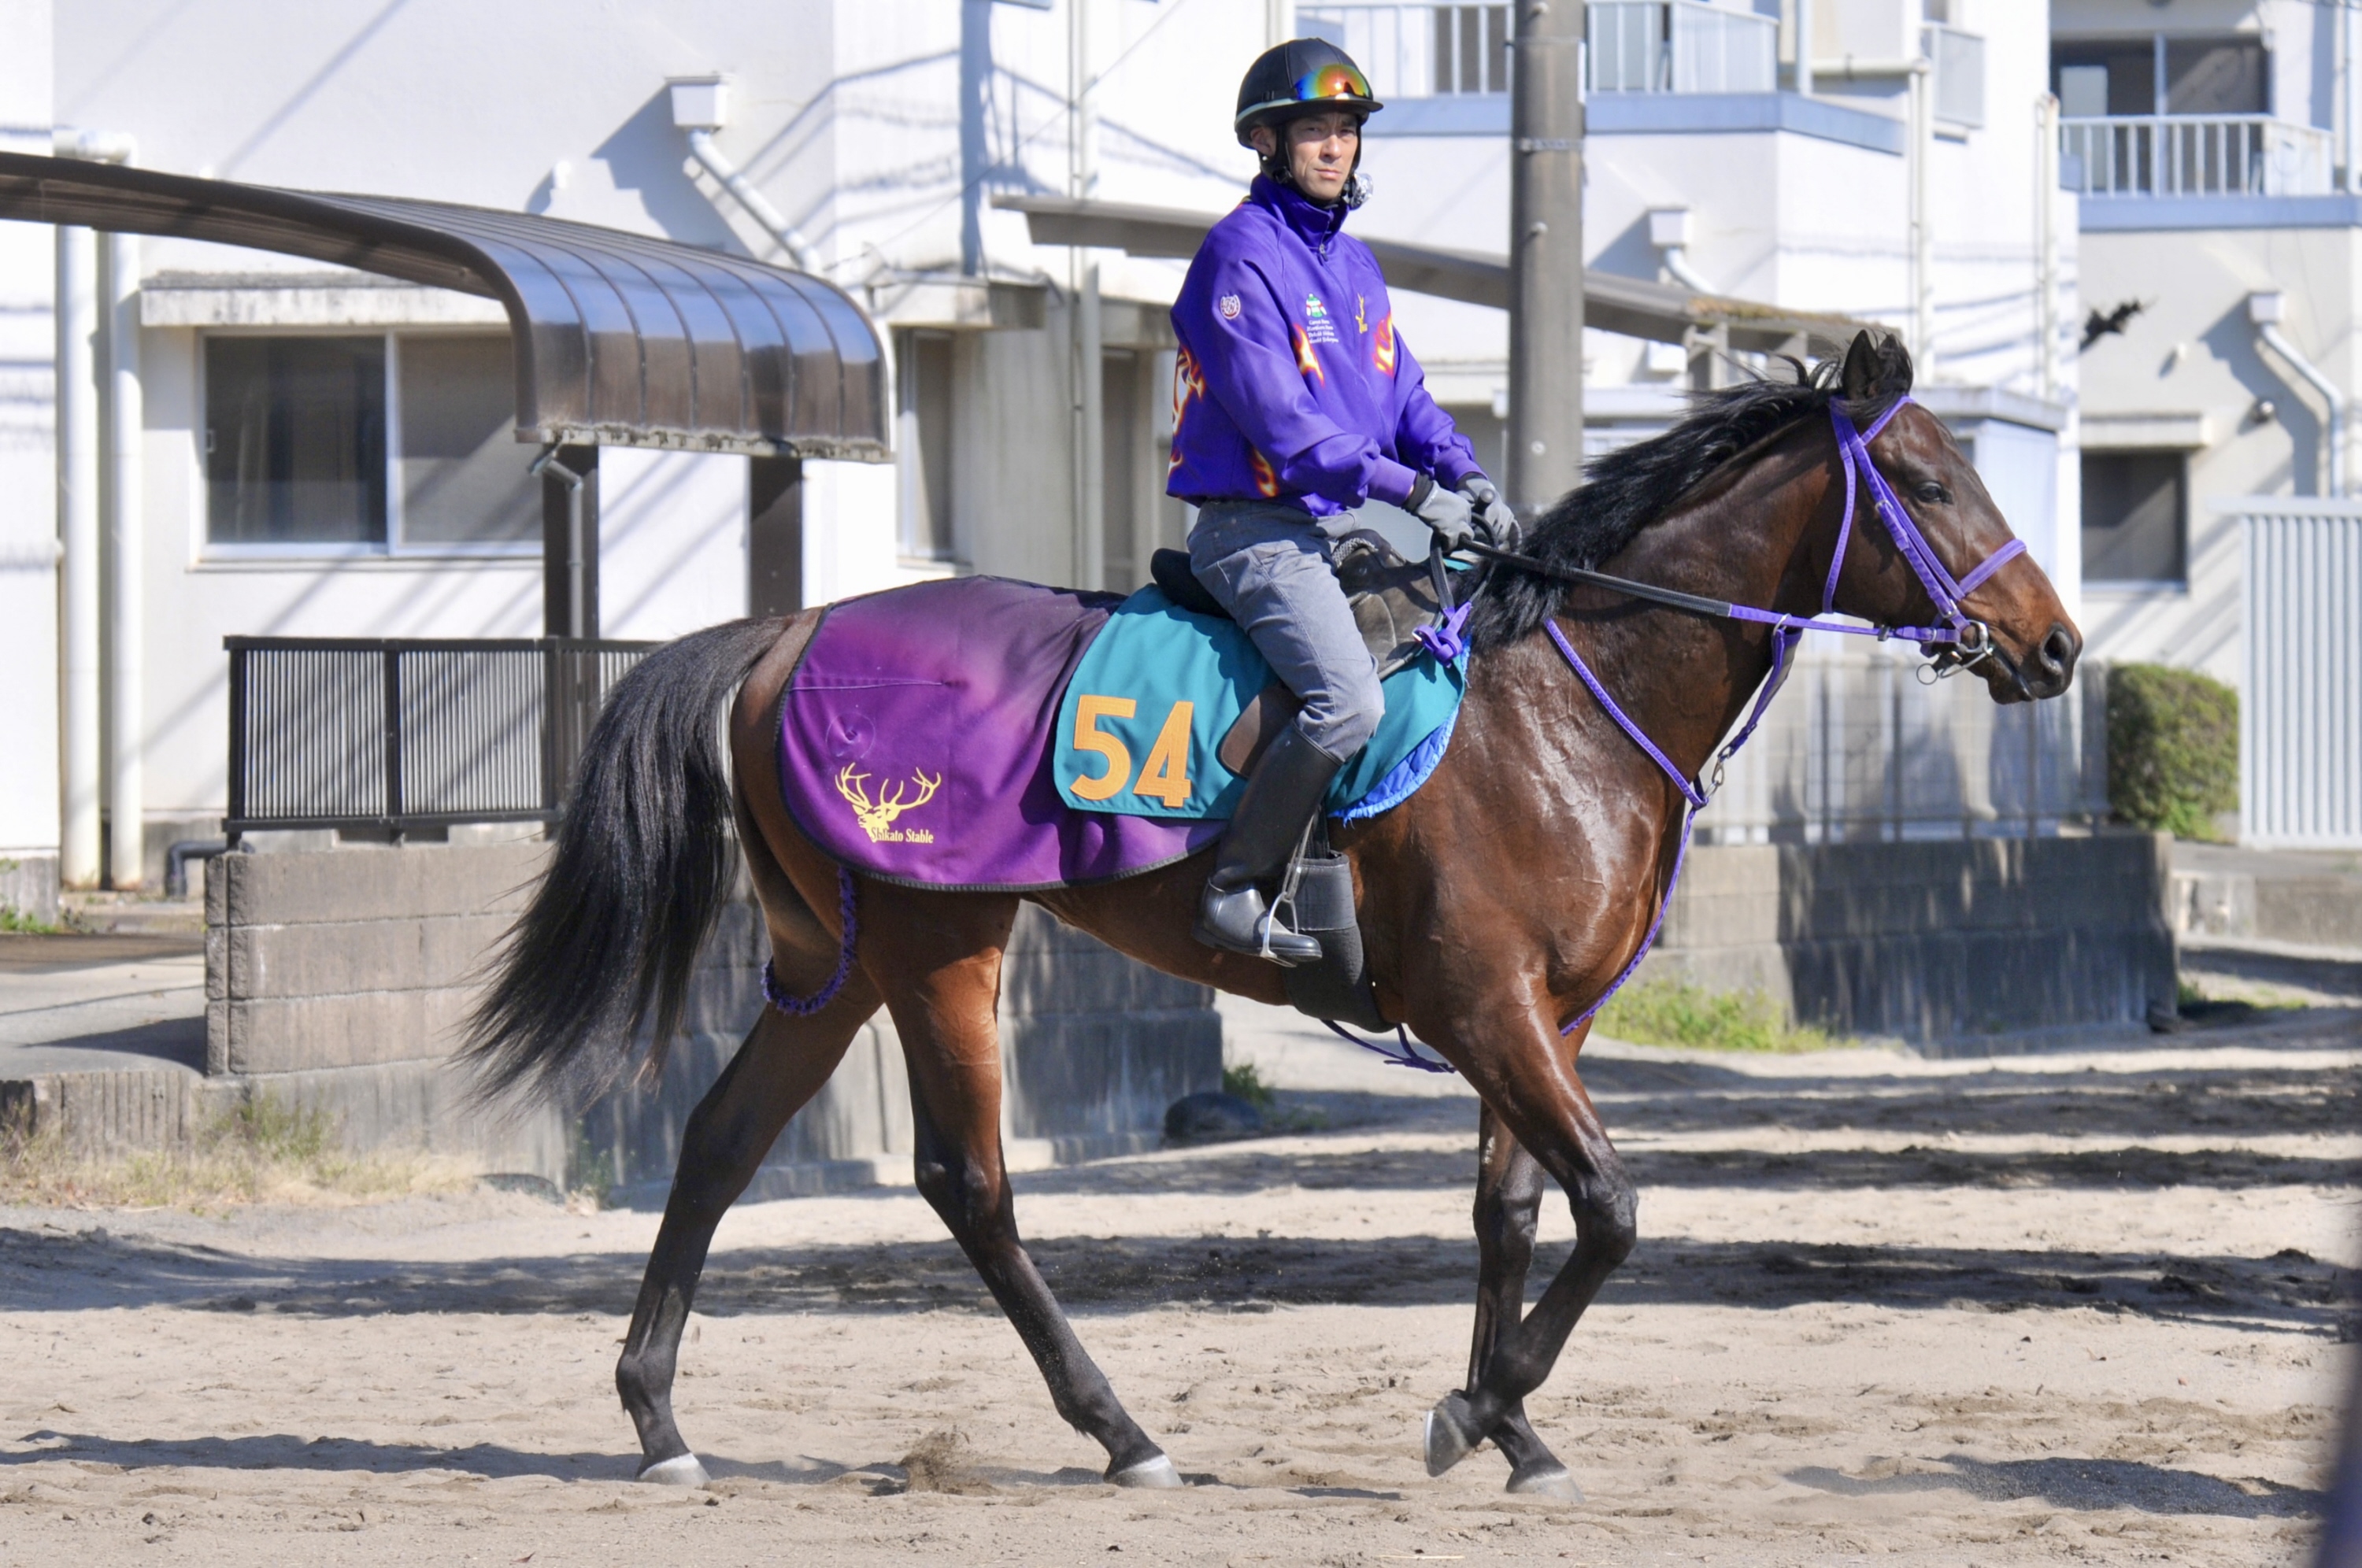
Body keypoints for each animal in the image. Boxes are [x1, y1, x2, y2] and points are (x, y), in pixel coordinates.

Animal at [462, 333, 2080, 1496]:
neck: (1565, 698)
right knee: (968, 1183)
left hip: (835, 960)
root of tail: (787, 631)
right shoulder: (1488, 1009)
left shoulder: (1540, 1022)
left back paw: (660, 1420)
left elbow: (1511, 1214)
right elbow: (1612, 1210)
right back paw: (1120, 1432)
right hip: (941, 950)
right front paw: (1477, 1408)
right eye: (1933, 483)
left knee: (722, 1139)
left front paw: (1516, 1434)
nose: (2057, 647)